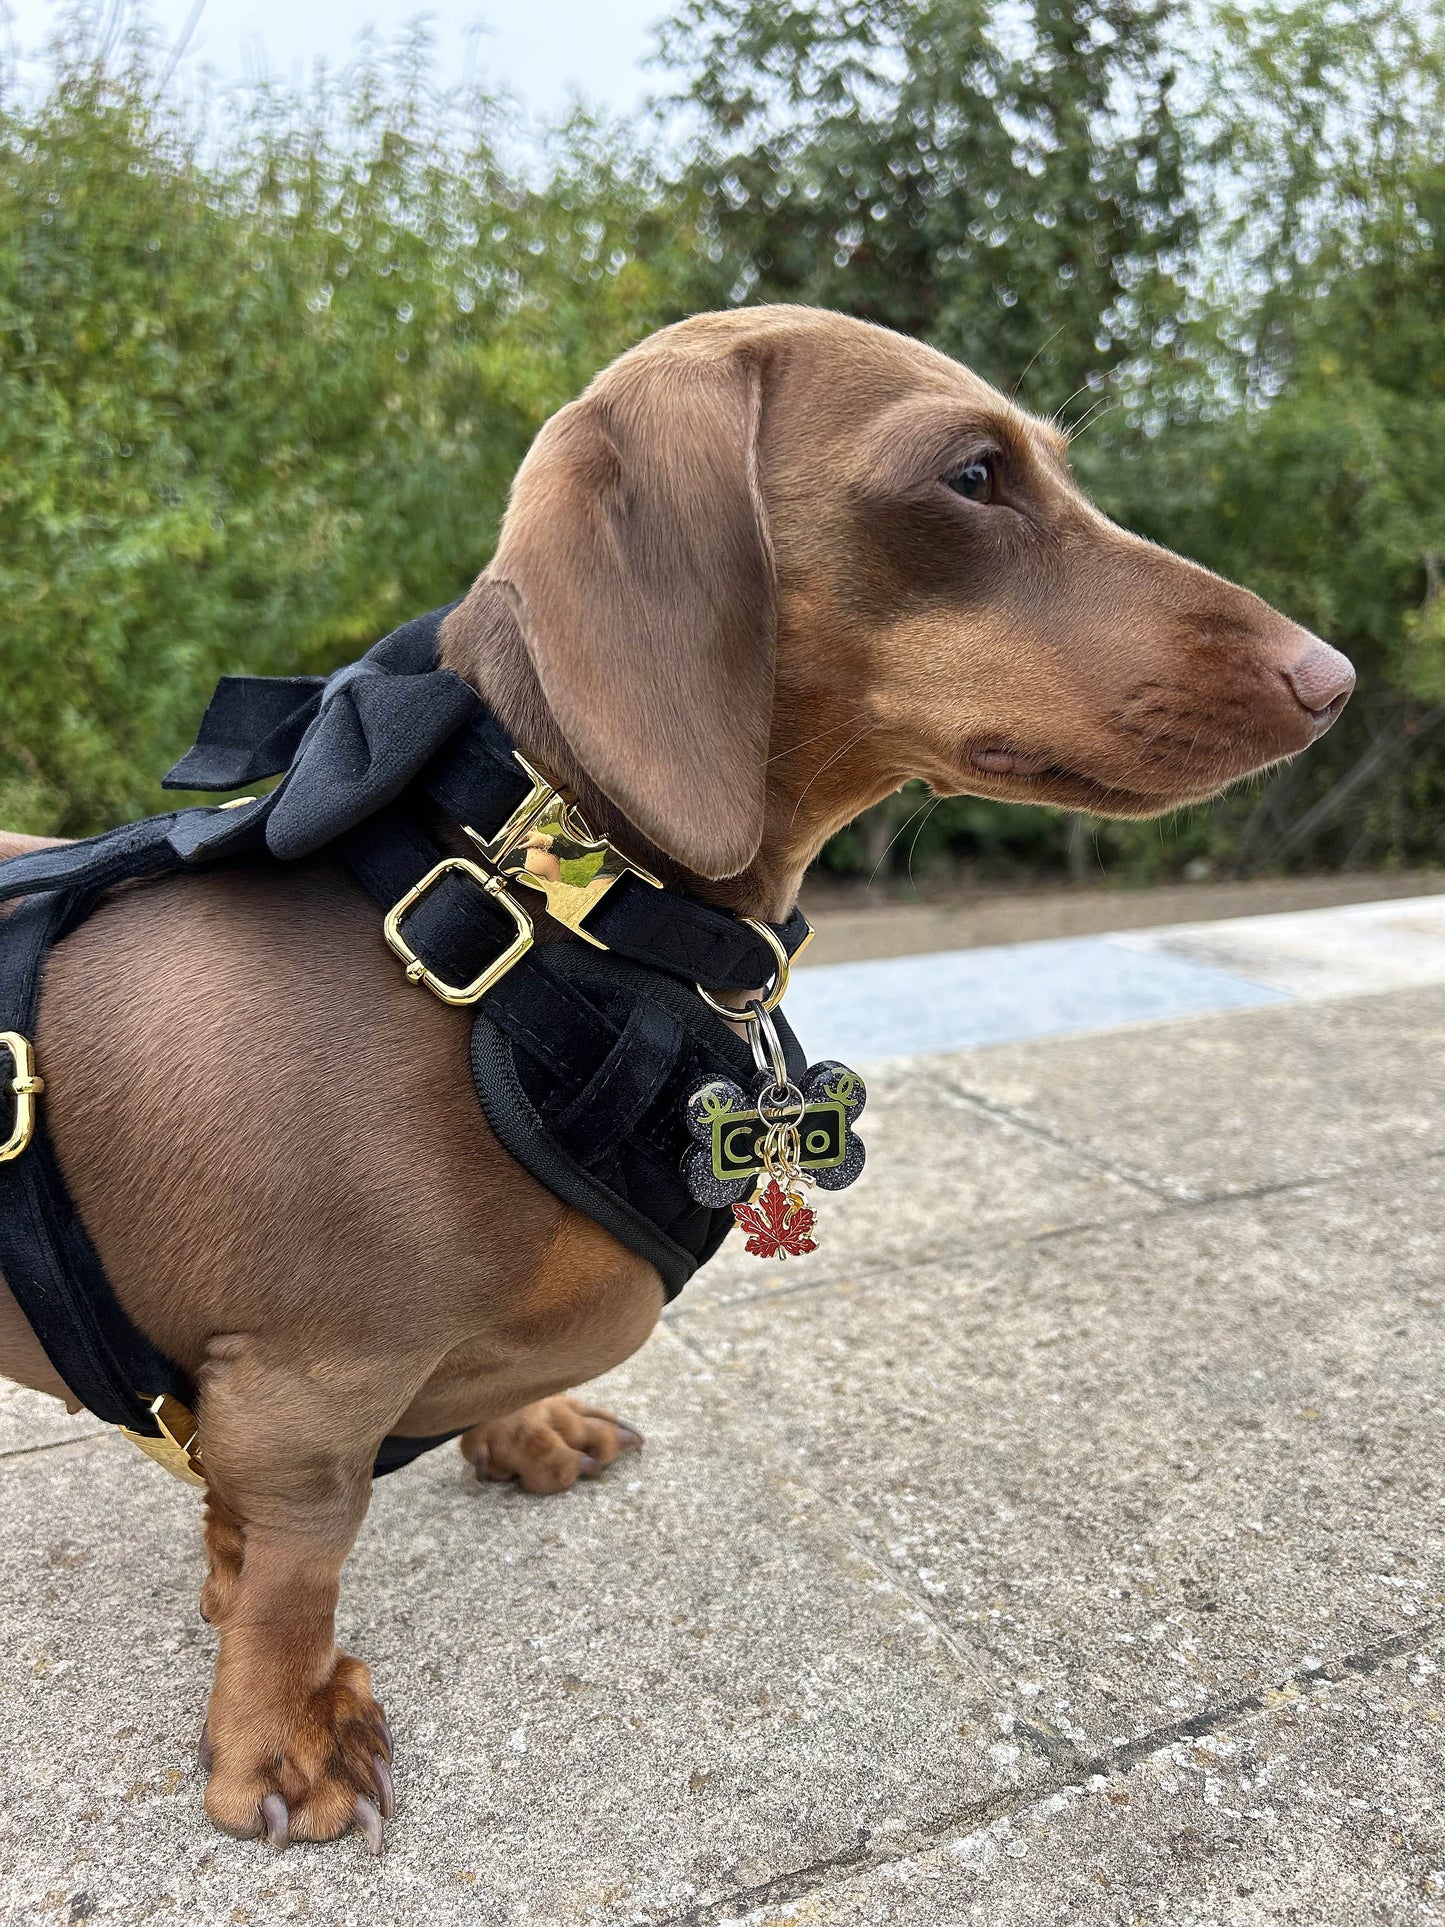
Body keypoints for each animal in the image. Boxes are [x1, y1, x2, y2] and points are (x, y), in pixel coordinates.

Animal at [0, 304, 1356, 1849]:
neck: (555, 908)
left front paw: (516, 1432)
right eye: (970, 475)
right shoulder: (301, 1385)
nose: (1332, 680)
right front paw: (278, 1732)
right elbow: (300, 1553)